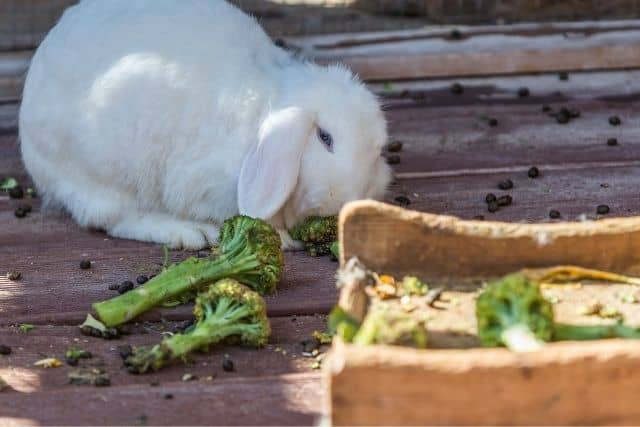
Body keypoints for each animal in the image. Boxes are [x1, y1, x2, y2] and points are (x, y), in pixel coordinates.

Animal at [19, 0, 392, 250]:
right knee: (113, 218)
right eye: (325, 138)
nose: (349, 202)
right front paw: (283, 239)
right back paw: (186, 233)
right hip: (105, 173)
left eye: (377, 151)